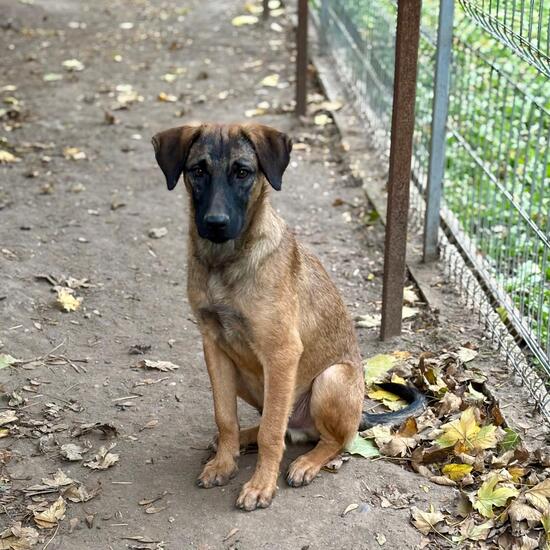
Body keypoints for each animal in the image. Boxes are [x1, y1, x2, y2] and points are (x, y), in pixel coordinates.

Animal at [152, 122, 424, 511]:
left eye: (243, 172)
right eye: (198, 170)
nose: (215, 223)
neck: (225, 263)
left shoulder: (281, 353)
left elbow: (271, 434)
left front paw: (260, 486)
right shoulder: (214, 346)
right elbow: (225, 416)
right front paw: (224, 462)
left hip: (331, 379)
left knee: (330, 440)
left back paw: (307, 463)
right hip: (248, 378)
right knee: (281, 426)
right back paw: (243, 440)